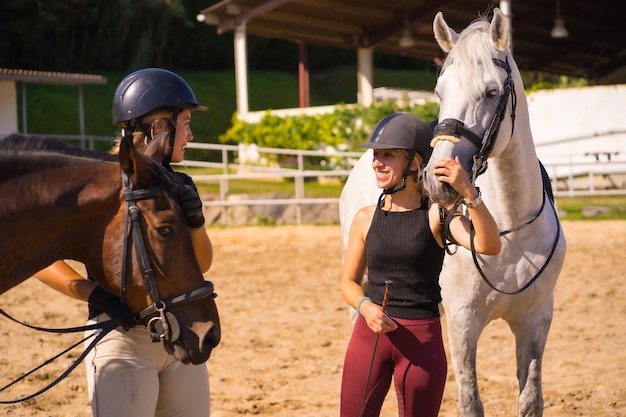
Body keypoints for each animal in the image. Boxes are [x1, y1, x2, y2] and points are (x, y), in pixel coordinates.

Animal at [338, 7, 564, 416]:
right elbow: (470, 403)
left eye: (491, 92)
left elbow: (530, 400)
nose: (438, 179)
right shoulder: (462, 321)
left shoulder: (536, 319)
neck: (512, 228)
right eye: (440, 92)